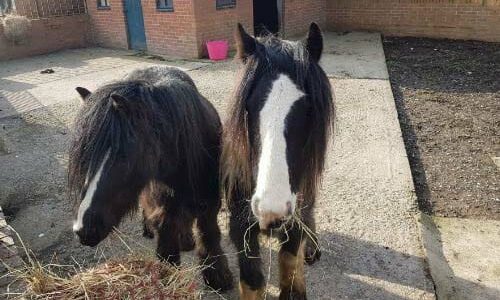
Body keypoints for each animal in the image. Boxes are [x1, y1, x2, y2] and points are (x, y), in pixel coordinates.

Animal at [69, 65, 234, 290]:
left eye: (123, 155)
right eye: (84, 156)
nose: (83, 230)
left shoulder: (209, 202)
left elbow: (208, 233)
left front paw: (217, 275)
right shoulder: (164, 211)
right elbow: (167, 251)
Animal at [222, 22, 332, 298]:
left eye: (309, 109)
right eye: (248, 106)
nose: (271, 210)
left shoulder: (294, 221)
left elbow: (290, 263)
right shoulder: (241, 227)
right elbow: (252, 280)